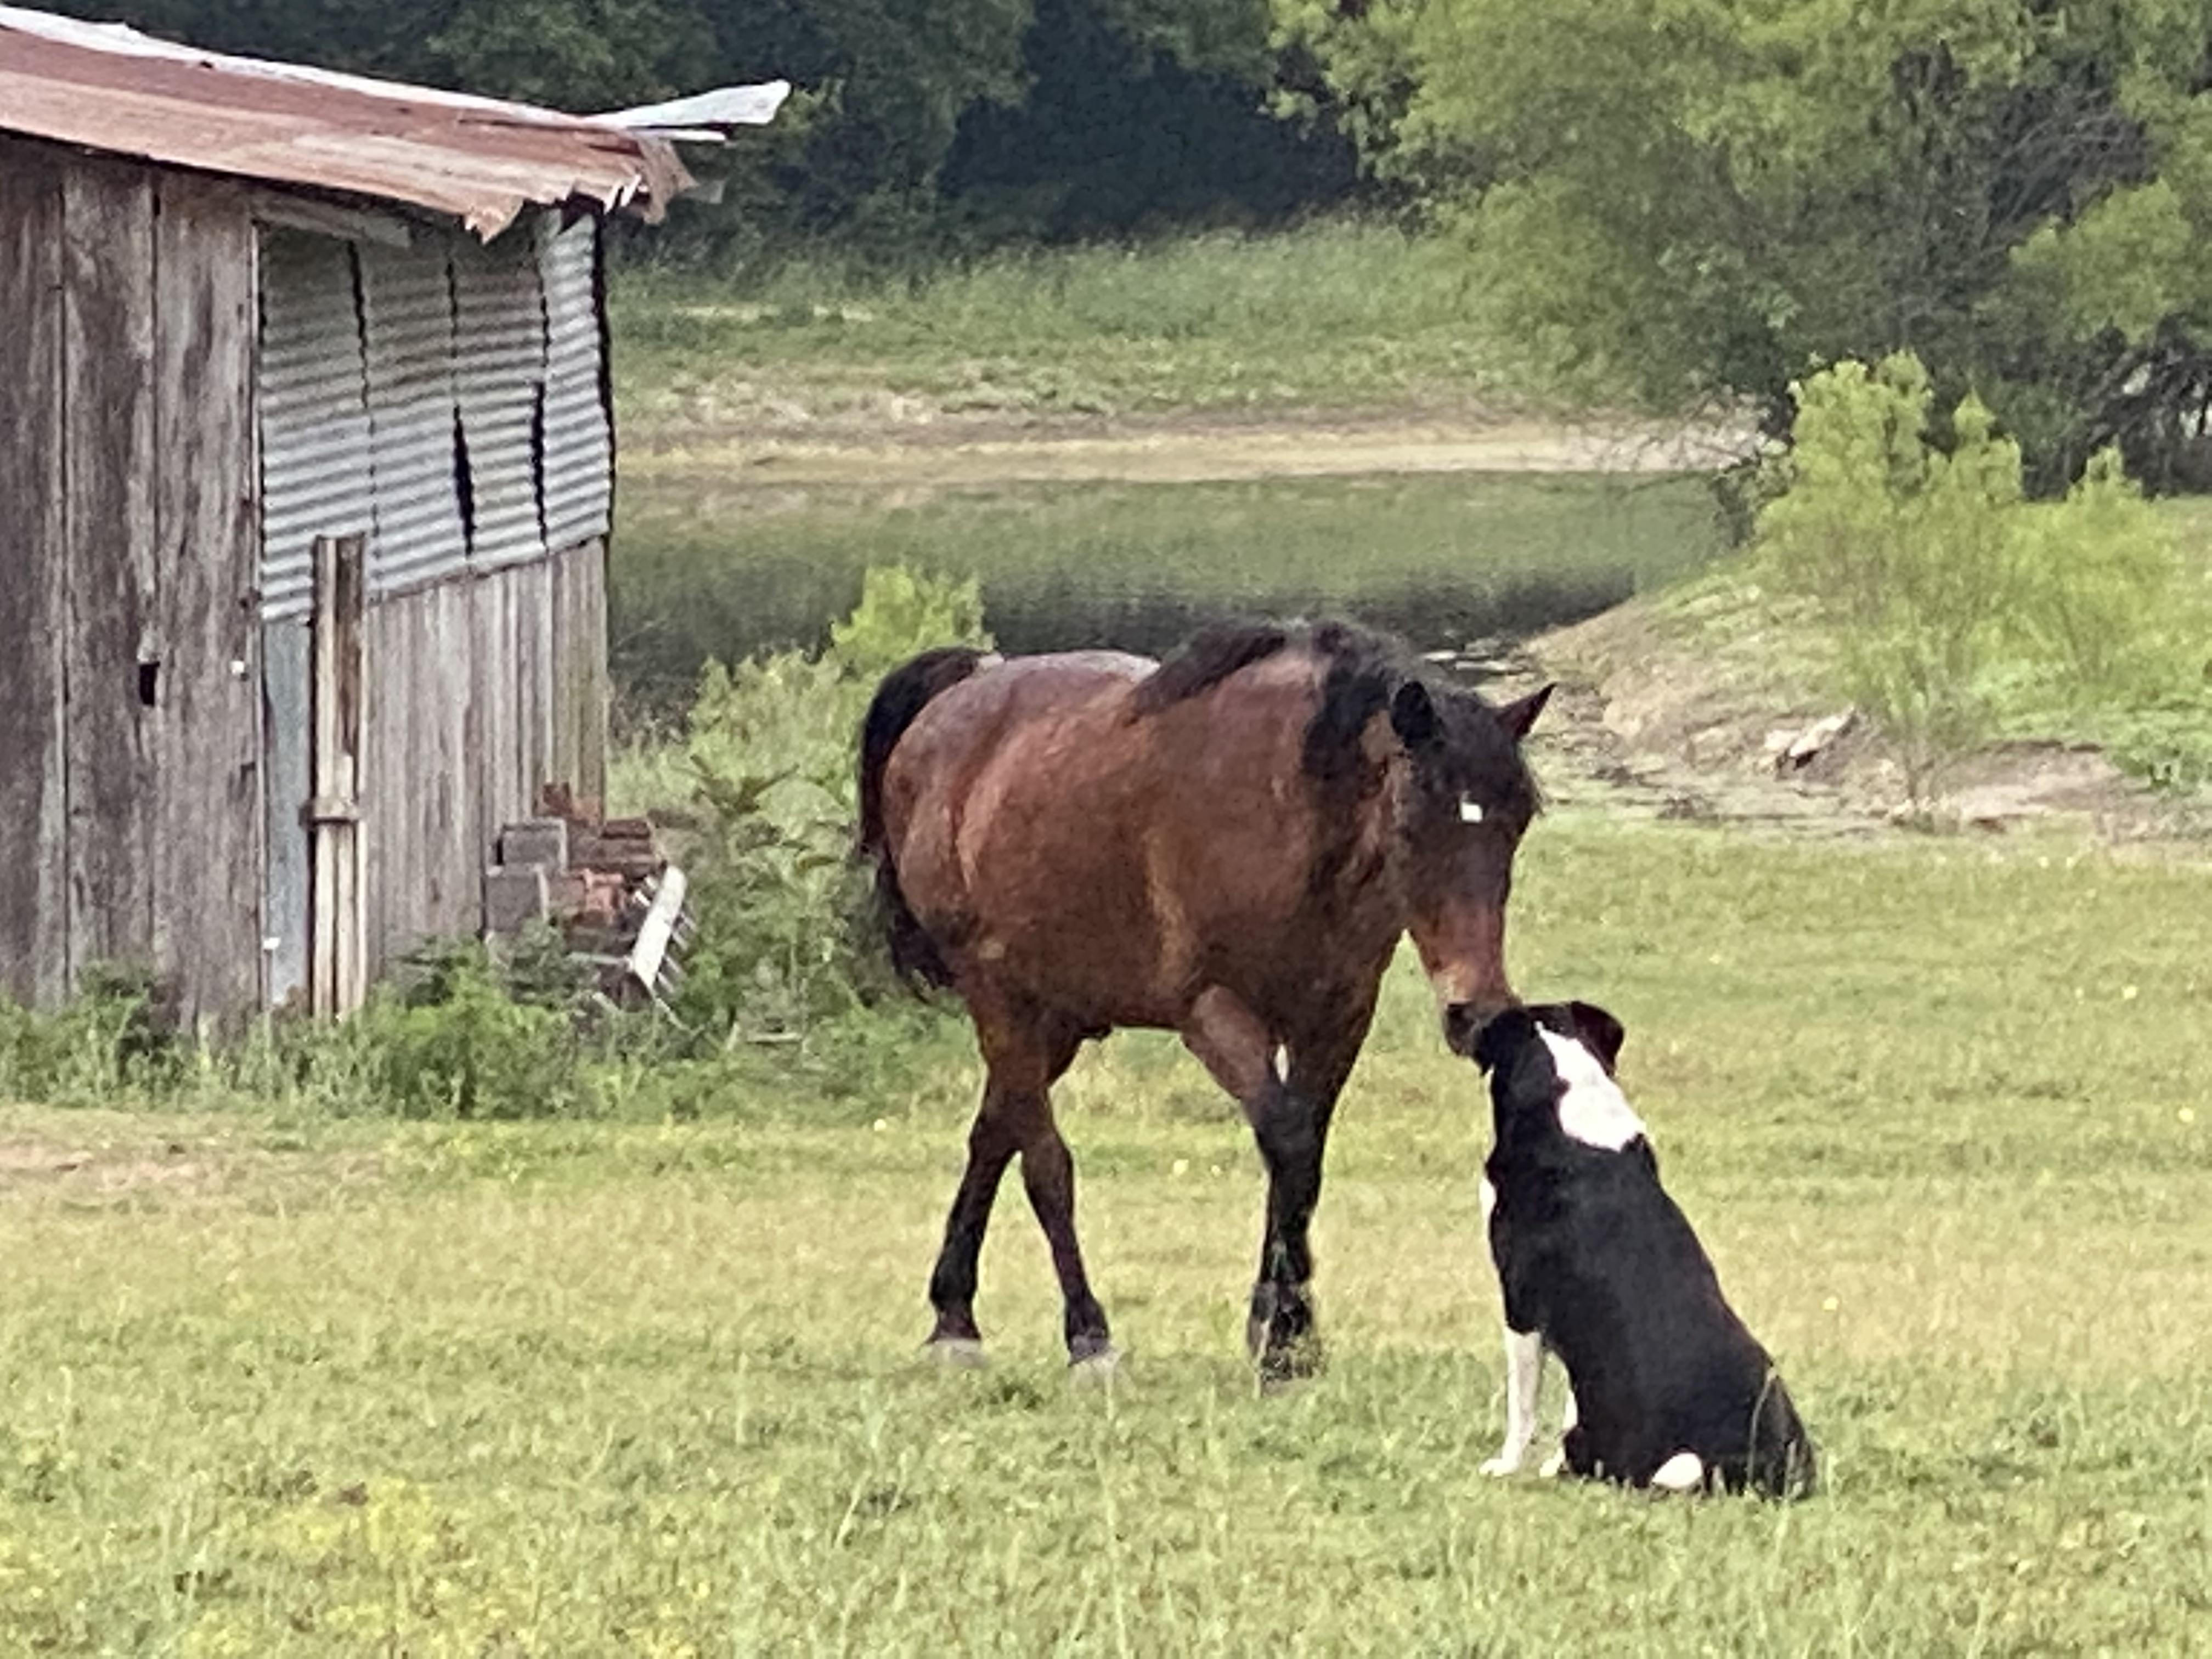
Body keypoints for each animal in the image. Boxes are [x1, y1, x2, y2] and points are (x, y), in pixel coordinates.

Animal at [855, 620, 1550, 1380]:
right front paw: (1283, 1338)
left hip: (1055, 1019)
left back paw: (954, 1318)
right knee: (1044, 1164)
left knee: (992, 1135)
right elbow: (1287, 1142)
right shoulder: (1214, 1011)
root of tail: (964, 693)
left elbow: (1304, 1159)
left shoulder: (1337, 1016)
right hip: (1002, 1003)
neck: (1285, 814)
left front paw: (1284, 1328)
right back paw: (1087, 1335)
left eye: (1518, 820)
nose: (1479, 1012)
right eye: (1413, 820)